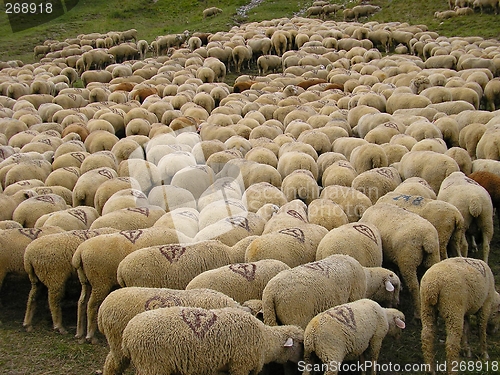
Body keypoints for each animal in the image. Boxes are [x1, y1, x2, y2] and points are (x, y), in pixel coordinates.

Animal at [120, 306, 304, 375]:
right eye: (300, 344)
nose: (304, 362)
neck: (266, 341)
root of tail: (127, 334)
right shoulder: (240, 364)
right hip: (152, 365)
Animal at [264, 254, 400, 330]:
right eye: (395, 287)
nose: (398, 303)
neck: (368, 280)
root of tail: (271, 292)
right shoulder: (355, 297)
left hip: (272, 316)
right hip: (297, 316)